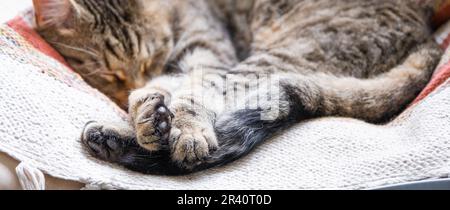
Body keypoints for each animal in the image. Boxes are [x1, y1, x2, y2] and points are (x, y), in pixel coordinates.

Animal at [33, 0, 442, 174]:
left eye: (154, 54)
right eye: (110, 73)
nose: (139, 79)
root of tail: (429, 39)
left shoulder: (209, 55)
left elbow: (193, 93)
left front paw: (183, 128)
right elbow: (159, 92)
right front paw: (148, 112)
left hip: (280, 56)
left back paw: (118, 138)